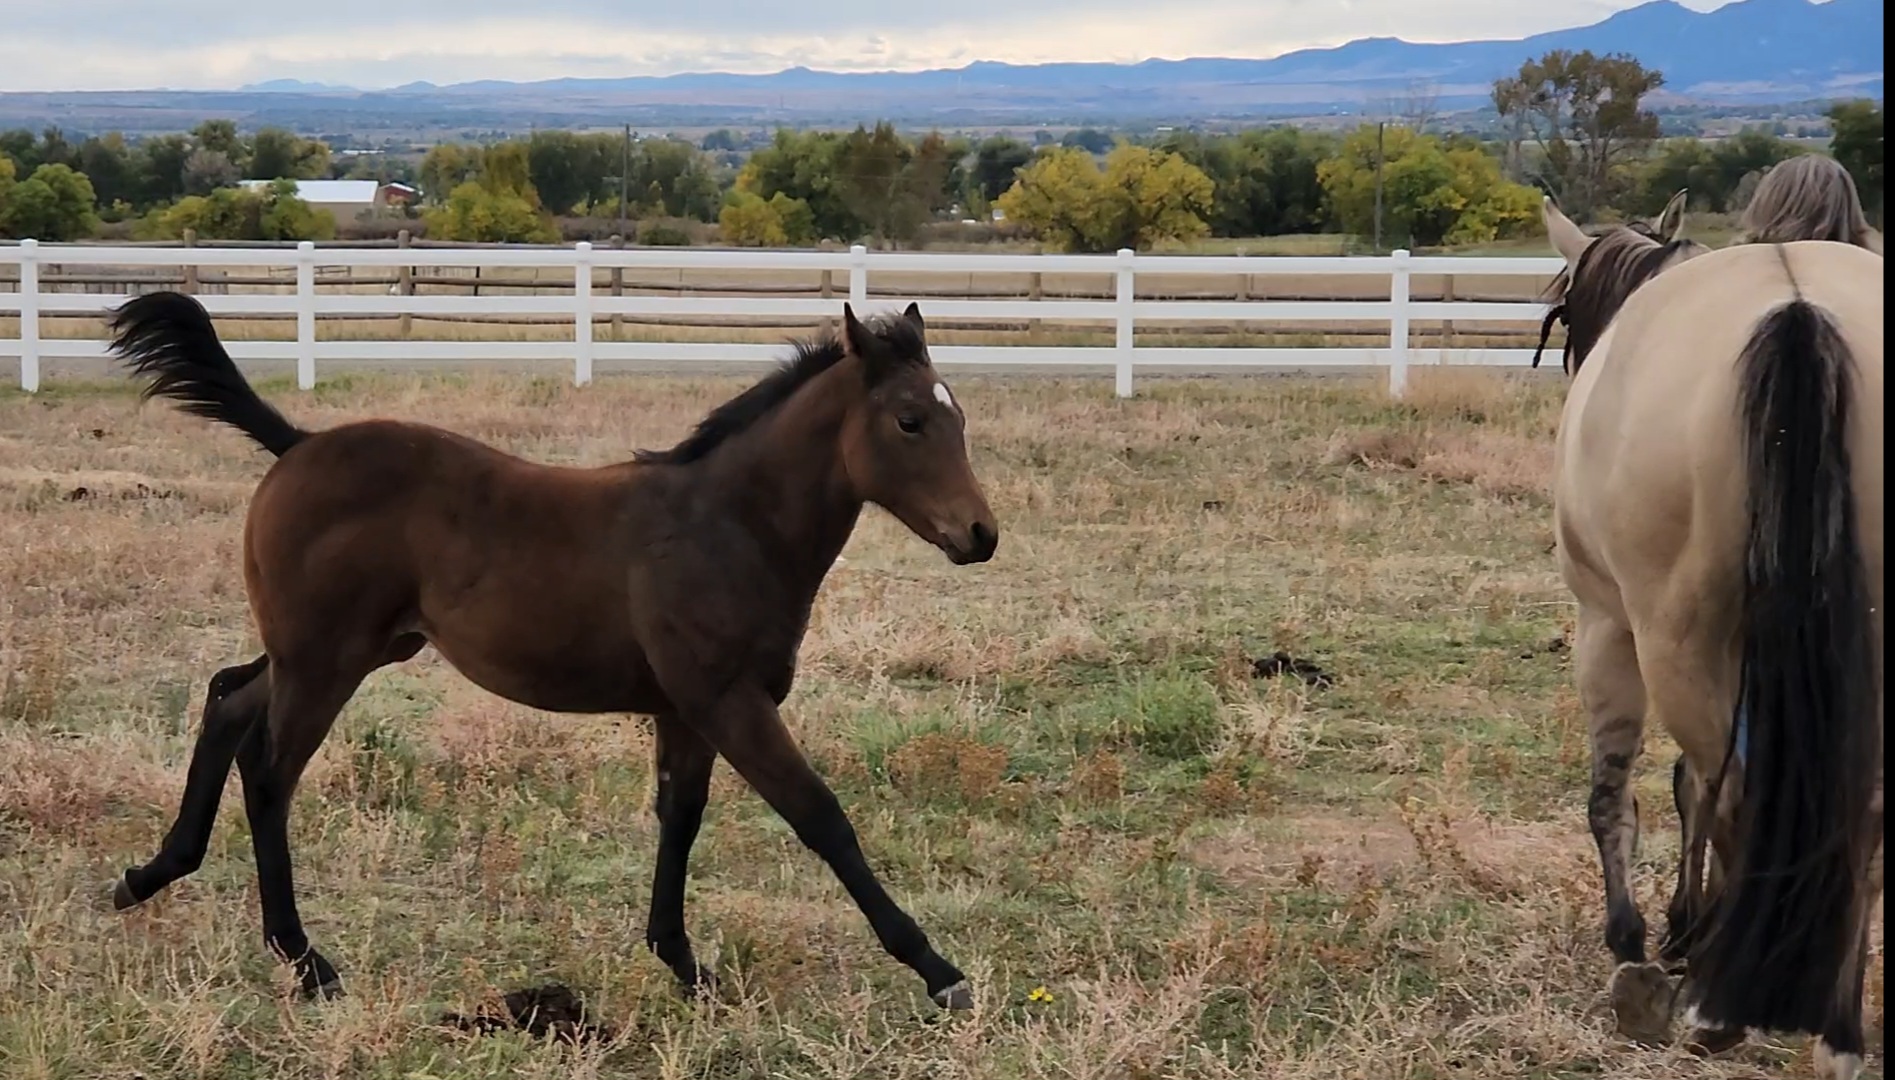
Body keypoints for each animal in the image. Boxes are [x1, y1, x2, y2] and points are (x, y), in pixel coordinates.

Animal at [103, 291, 1001, 1011]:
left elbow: (680, 818)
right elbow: (820, 816)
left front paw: (684, 965)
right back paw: (306, 962)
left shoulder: (684, 710)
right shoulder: (728, 701)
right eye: (909, 421)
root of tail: (294, 444)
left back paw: (148, 876)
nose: (980, 535)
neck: (727, 526)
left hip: (340, 652)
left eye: (959, 418)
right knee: (268, 772)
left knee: (227, 698)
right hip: (325, 662)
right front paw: (939, 971)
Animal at [1538, 196, 1883, 1079]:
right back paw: (1835, 1032)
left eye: (1563, 313)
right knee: (1859, 813)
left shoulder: (1607, 628)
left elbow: (1623, 795)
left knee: (1733, 795)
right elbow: (1689, 786)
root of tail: (1797, 308)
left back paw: (1718, 1008)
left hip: (1673, 641)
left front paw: (1639, 940)